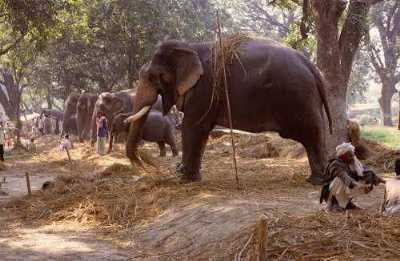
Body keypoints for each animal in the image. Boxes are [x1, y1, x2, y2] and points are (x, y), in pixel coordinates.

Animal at [124, 38, 332, 185]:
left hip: (300, 96)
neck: (189, 46)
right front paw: (190, 177)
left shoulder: (204, 89)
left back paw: (317, 181)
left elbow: (194, 127)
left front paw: (183, 179)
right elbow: (201, 131)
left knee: (311, 134)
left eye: (152, 77)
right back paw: (316, 179)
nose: (145, 167)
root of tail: (311, 66)